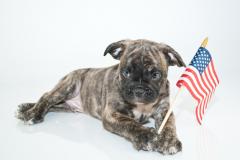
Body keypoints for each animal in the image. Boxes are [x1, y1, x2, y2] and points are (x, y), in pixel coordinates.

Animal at [15, 39, 187, 155]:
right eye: (125, 72)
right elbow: (130, 123)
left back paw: (24, 107)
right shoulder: (112, 114)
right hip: (68, 86)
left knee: (53, 105)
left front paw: (168, 141)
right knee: (47, 97)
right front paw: (146, 136)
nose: (138, 90)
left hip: (67, 106)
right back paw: (31, 113)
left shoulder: (164, 110)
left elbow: (169, 125)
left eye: (155, 75)